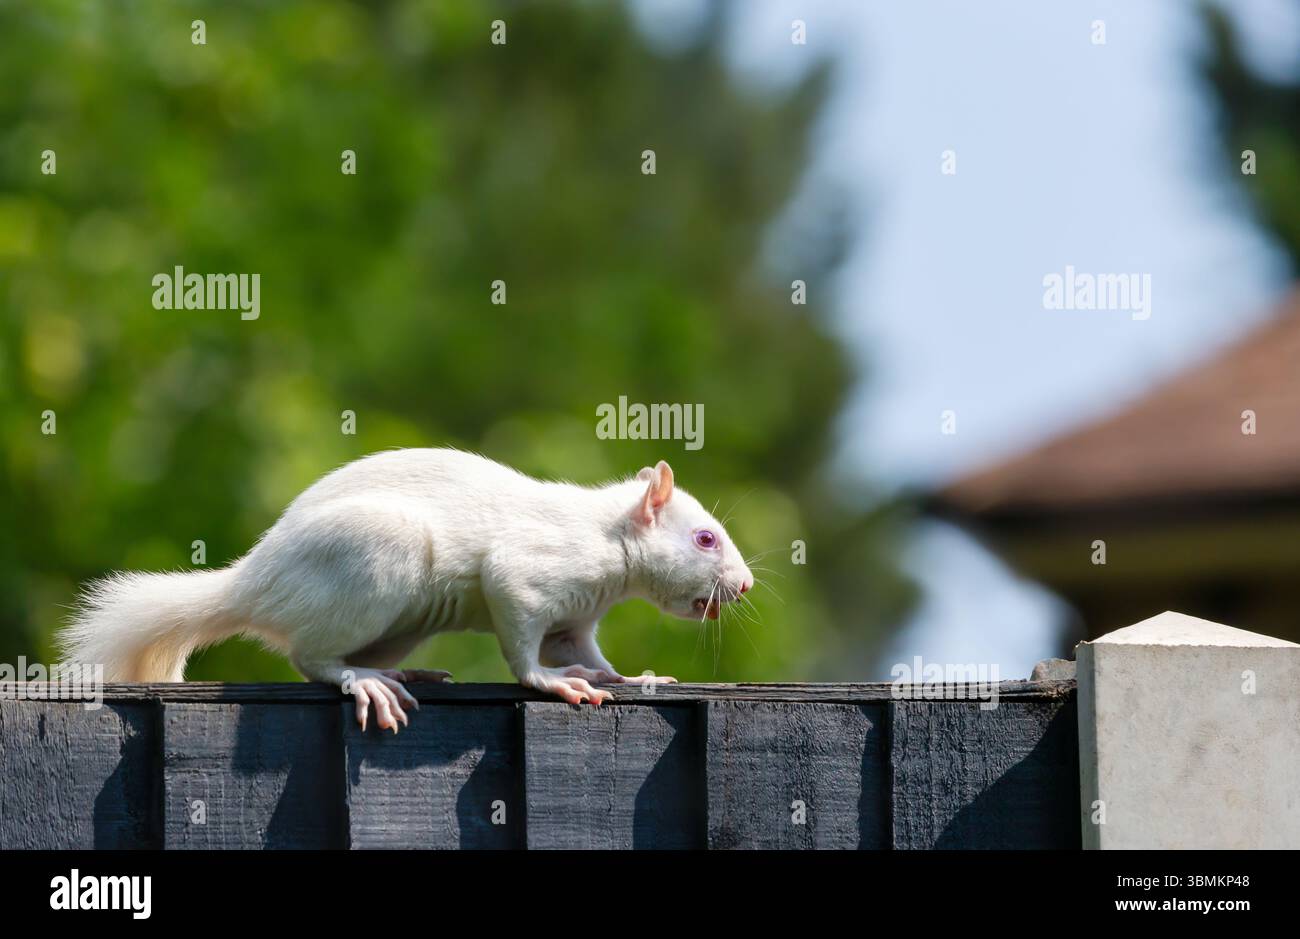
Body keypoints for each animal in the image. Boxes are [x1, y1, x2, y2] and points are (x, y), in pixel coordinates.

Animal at [59, 449, 754, 732]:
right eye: (705, 540)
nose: (745, 584)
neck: (609, 536)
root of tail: (253, 584)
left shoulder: (574, 621)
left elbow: (584, 652)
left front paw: (629, 677)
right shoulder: (526, 577)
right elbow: (525, 649)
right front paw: (555, 685)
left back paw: (405, 674)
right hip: (375, 561)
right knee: (311, 659)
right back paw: (364, 682)